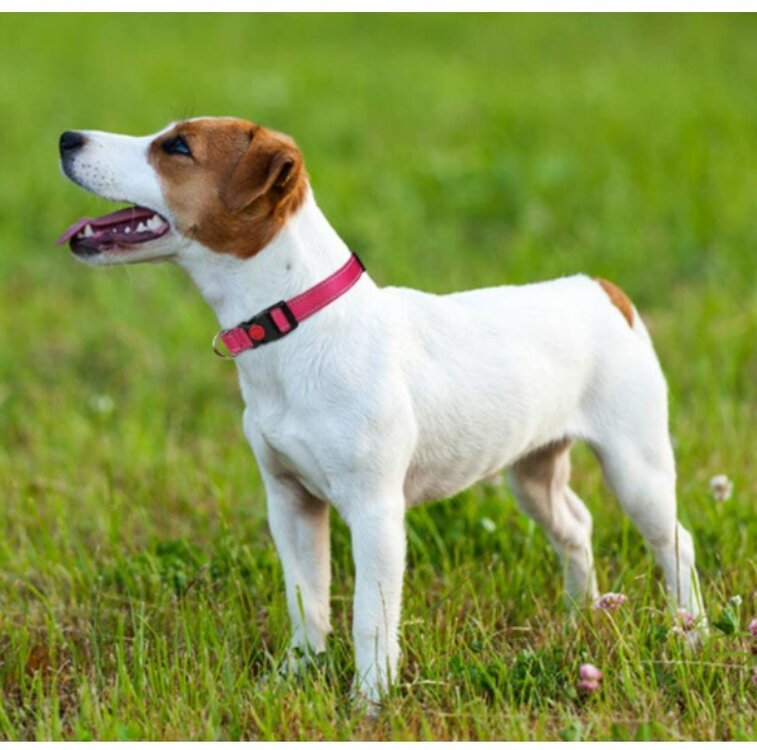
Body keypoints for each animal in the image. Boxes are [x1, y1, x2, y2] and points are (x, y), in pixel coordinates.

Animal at [56, 116, 704, 704]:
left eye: (178, 147)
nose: (66, 138)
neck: (297, 322)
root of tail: (602, 291)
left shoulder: (375, 512)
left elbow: (370, 617)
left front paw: (368, 702)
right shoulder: (290, 501)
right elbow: (307, 601)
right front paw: (293, 678)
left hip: (636, 464)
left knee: (676, 540)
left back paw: (691, 632)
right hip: (532, 471)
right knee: (576, 525)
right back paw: (578, 615)